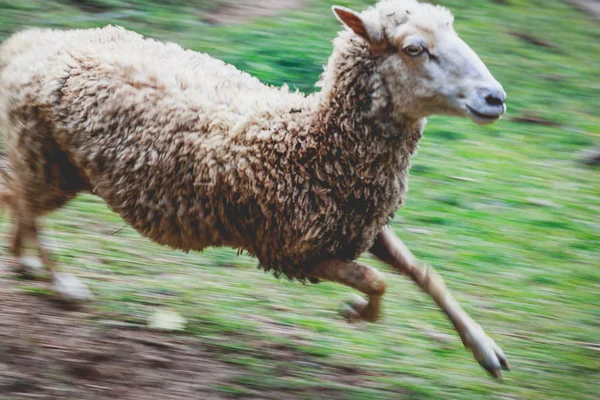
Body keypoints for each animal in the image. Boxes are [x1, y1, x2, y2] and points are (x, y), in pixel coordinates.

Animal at [0, 0, 510, 378]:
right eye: (414, 49)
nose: (496, 98)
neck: (315, 144)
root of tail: (25, 43)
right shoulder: (294, 251)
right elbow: (378, 281)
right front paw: (354, 311)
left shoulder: (360, 225)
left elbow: (424, 274)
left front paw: (486, 351)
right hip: (47, 159)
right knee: (26, 205)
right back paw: (60, 282)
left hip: (52, 162)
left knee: (18, 198)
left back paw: (26, 263)